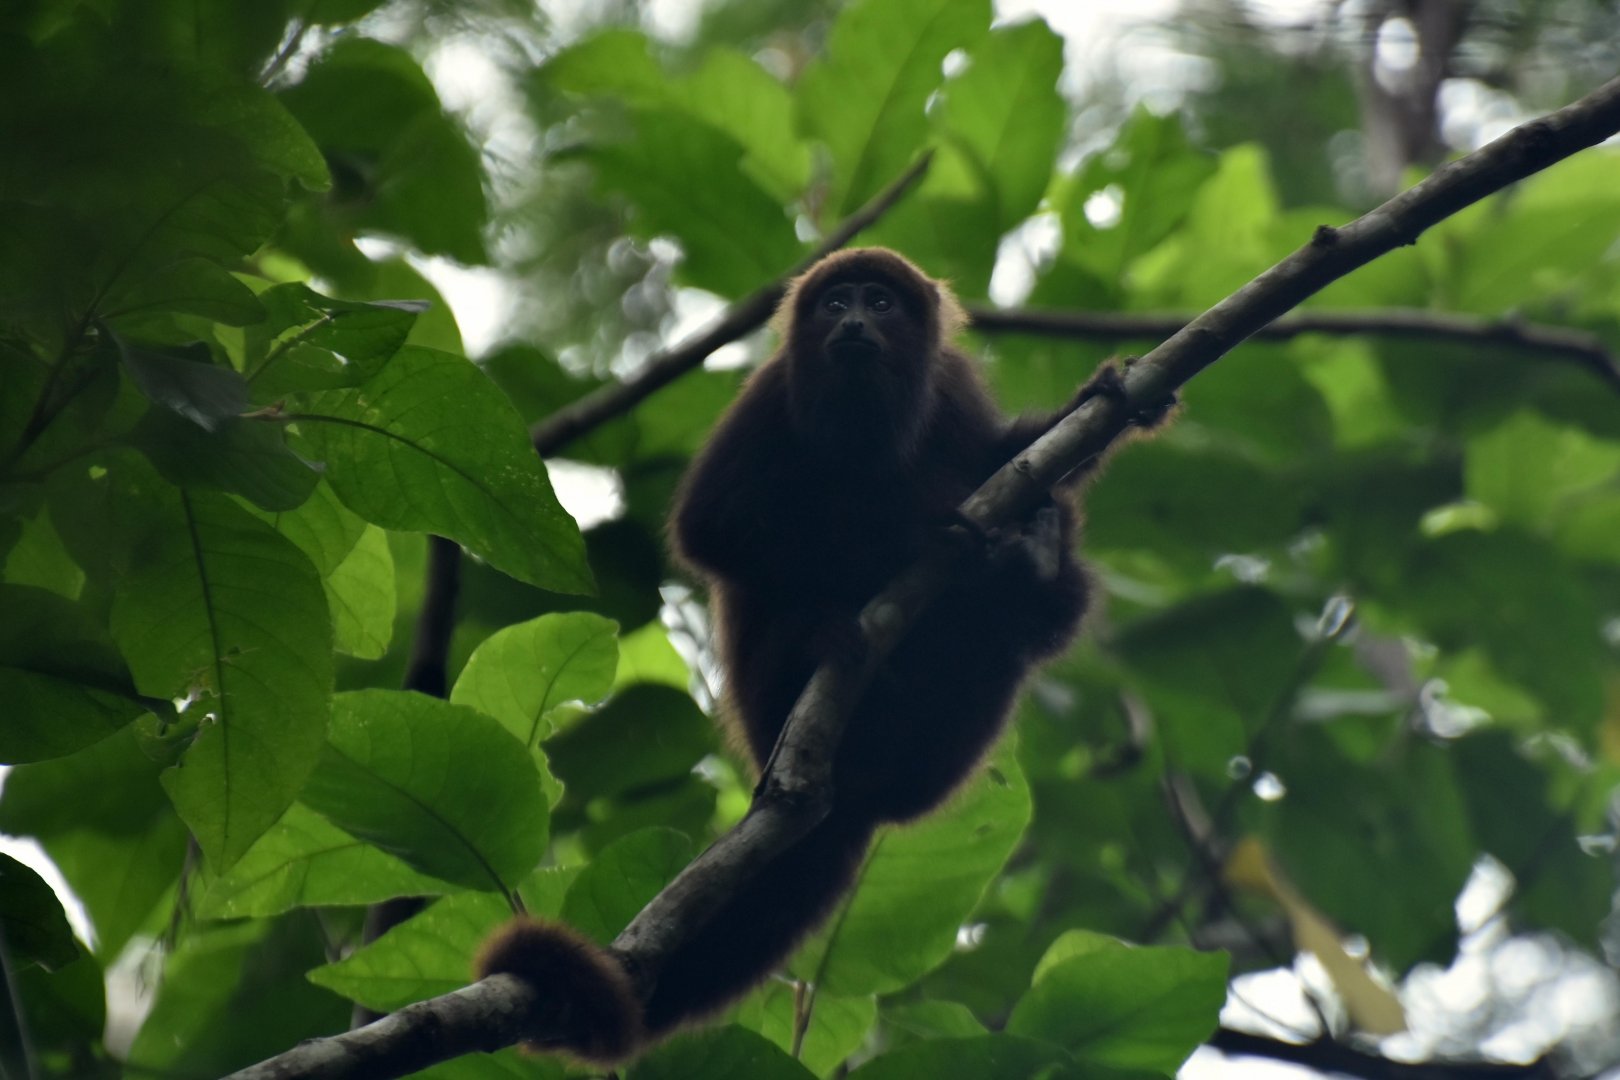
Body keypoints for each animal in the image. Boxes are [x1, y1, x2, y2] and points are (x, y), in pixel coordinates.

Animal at [477, 247, 1169, 1064]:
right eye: (837, 302)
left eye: (879, 301)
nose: (855, 322)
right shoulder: (768, 398)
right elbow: (711, 526)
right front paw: (906, 537)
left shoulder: (951, 388)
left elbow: (1002, 458)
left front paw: (1101, 399)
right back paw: (836, 631)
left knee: (1037, 616)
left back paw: (1030, 565)